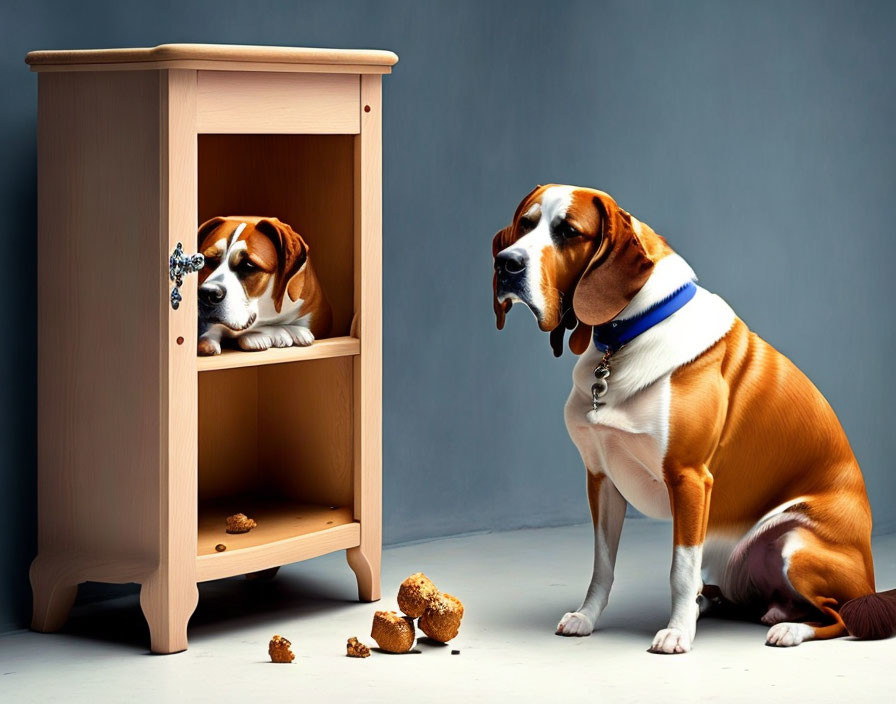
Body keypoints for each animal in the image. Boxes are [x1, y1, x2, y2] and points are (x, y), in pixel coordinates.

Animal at [494, 184, 892, 652]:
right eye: (525, 224)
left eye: (568, 231)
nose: (507, 263)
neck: (626, 336)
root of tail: (872, 580)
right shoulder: (602, 480)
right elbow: (602, 565)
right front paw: (587, 617)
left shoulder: (688, 480)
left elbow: (681, 570)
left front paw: (678, 632)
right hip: (739, 566)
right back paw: (762, 610)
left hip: (797, 547)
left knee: (842, 615)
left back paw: (791, 629)